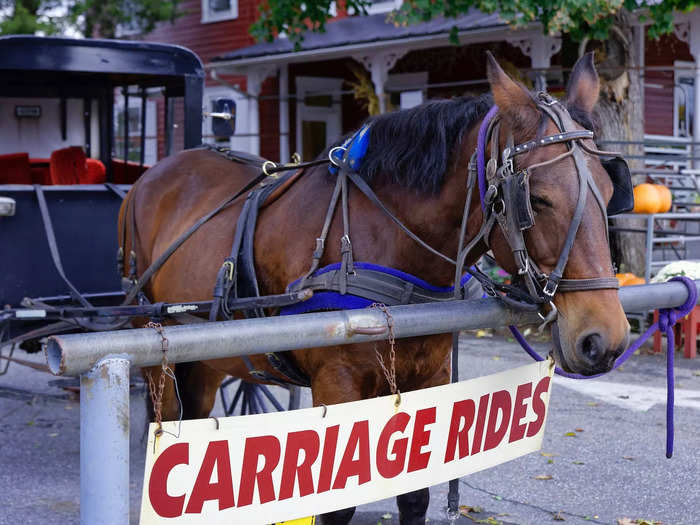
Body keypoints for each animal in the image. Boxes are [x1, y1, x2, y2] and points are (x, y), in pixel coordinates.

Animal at [119, 55, 628, 520]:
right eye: (536, 199)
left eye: (609, 191)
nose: (605, 339)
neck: (388, 240)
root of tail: (149, 176)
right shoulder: (337, 384)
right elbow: (336, 507)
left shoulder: (429, 376)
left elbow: (415, 496)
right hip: (154, 342)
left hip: (206, 354)